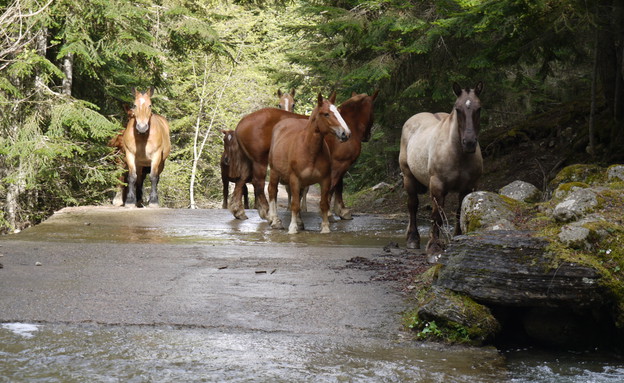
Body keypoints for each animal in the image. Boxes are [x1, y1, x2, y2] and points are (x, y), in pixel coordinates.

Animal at [268, 94, 352, 236]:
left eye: (339, 112)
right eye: (326, 114)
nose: (345, 133)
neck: (309, 149)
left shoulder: (325, 180)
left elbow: (323, 203)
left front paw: (325, 228)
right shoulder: (294, 179)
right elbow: (295, 204)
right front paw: (292, 228)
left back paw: (300, 222)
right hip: (274, 172)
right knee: (273, 192)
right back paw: (275, 221)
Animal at [400, 81, 482, 255]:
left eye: (479, 108)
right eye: (458, 109)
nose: (469, 143)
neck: (457, 154)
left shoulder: (468, 188)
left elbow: (459, 213)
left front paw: (457, 237)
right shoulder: (438, 186)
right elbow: (436, 215)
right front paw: (433, 245)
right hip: (408, 177)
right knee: (412, 205)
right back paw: (413, 239)